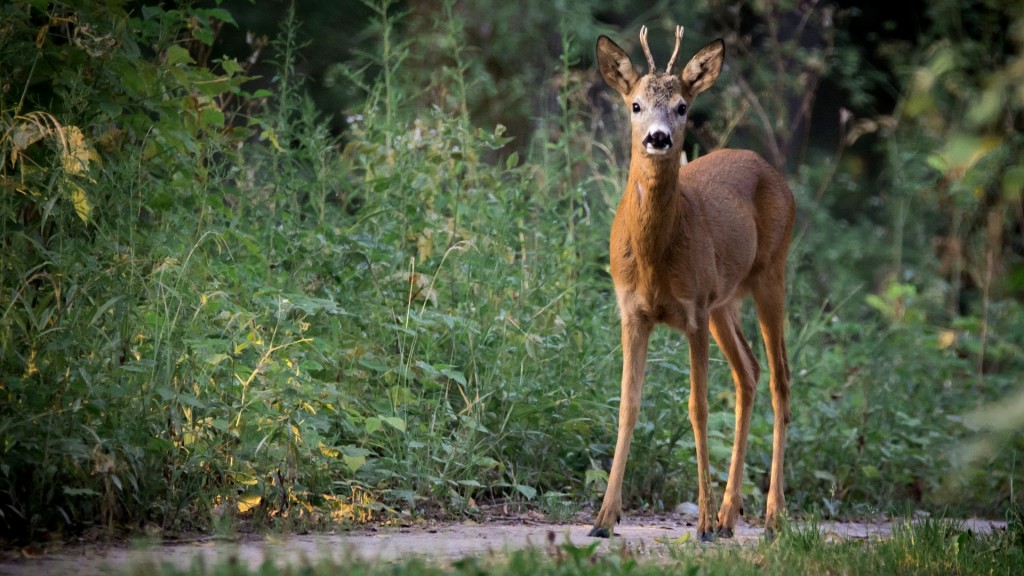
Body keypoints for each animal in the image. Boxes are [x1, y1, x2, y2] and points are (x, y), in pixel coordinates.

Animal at [588, 25, 795, 541]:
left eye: (682, 106)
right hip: (726, 301)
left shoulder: (694, 309)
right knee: (749, 372)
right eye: (635, 104)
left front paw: (699, 522)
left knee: (780, 379)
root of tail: (773, 172)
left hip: (770, 274)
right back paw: (728, 515)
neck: (654, 260)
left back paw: (771, 515)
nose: (659, 138)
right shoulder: (632, 311)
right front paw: (603, 518)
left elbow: (697, 408)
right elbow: (627, 405)